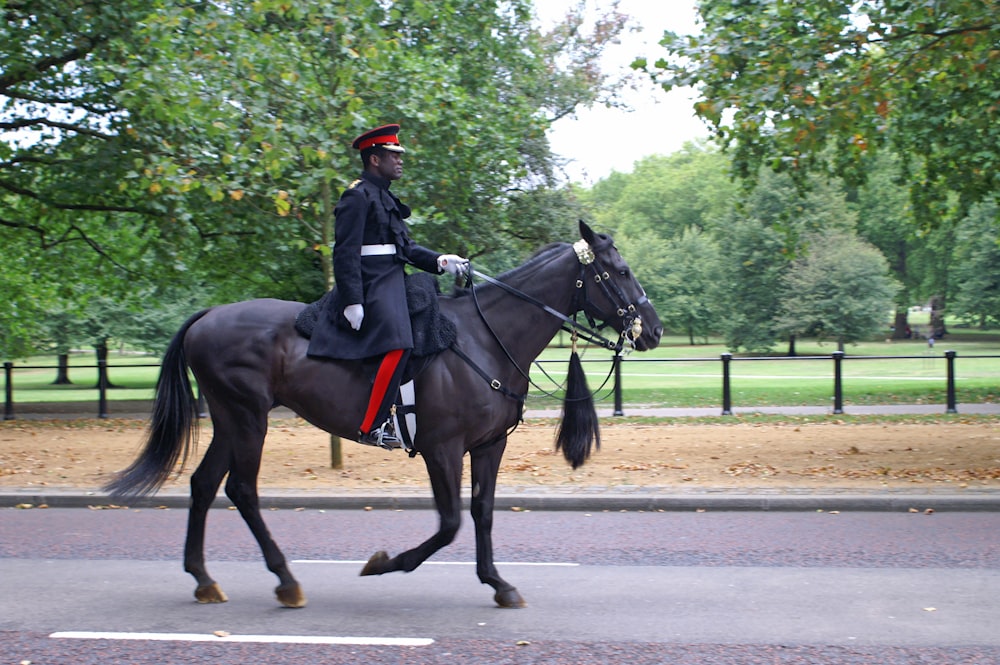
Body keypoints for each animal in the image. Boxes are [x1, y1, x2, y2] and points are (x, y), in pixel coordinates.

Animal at [105, 219, 660, 608]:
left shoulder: (488, 445)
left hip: (230, 419)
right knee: (241, 490)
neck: (485, 338)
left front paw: (497, 582)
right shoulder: (441, 449)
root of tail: (208, 316)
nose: (652, 330)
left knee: (203, 485)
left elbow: (481, 513)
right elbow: (450, 523)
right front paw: (385, 563)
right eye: (621, 271)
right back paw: (285, 580)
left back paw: (204, 579)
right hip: (247, 419)